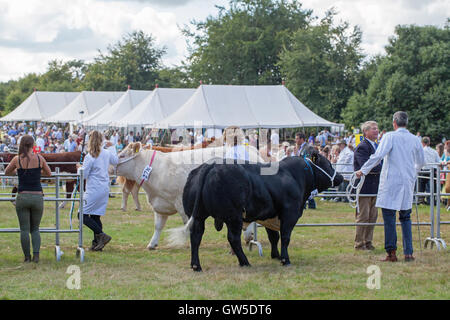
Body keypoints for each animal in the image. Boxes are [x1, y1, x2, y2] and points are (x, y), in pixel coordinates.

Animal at [112, 142, 264, 250]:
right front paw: (152, 244)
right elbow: (158, 225)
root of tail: (251, 149)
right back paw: (248, 237)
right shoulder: (160, 203)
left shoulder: (181, 202)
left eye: (122, 156)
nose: (111, 166)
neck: (157, 170)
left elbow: (188, 223)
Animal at [181, 150, 342, 270]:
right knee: (233, 238)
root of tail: (212, 165)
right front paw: (285, 260)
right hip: (234, 216)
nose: (341, 177)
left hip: (198, 216)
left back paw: (196, 266)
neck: (295, 176)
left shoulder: (270, 216)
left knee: (196, 236)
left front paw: (276, 255)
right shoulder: (290, 213)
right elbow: (285, 237)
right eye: (328, 164)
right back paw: (245, 262)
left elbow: (274, 237)